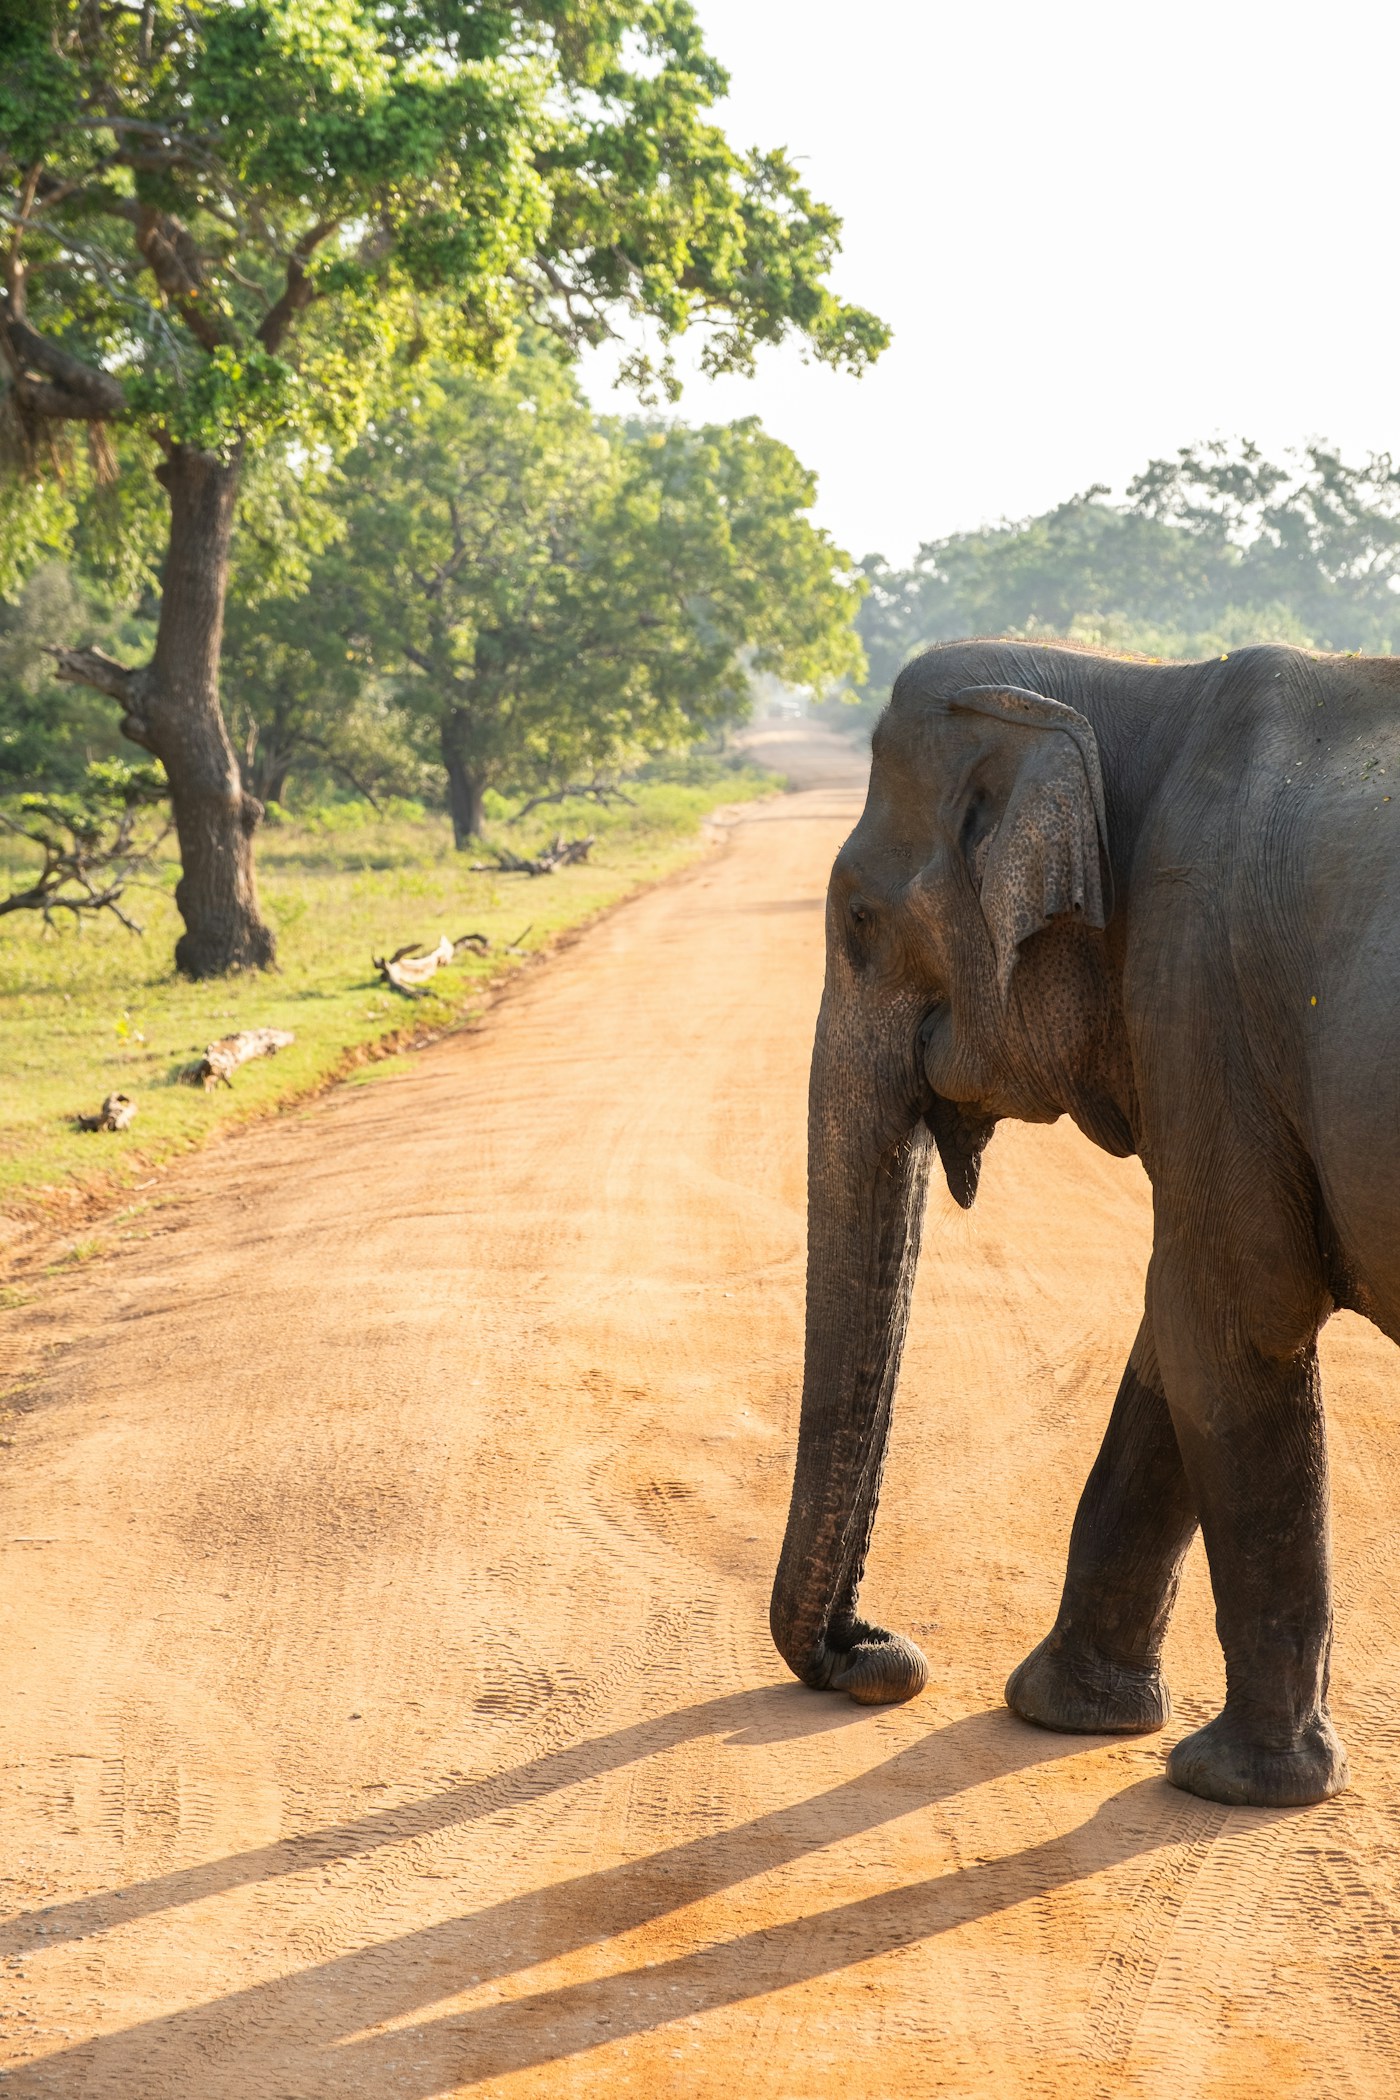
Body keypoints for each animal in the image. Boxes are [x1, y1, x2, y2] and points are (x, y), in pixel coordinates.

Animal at [770, 636, 1400, 1808]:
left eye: (858, 923)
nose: (879, 1653)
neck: (1130, 687)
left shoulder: (1199, 986)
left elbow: (1229, 1319)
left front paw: (1228, 1784)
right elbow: (1177, 1336)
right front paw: (1061, 1713)